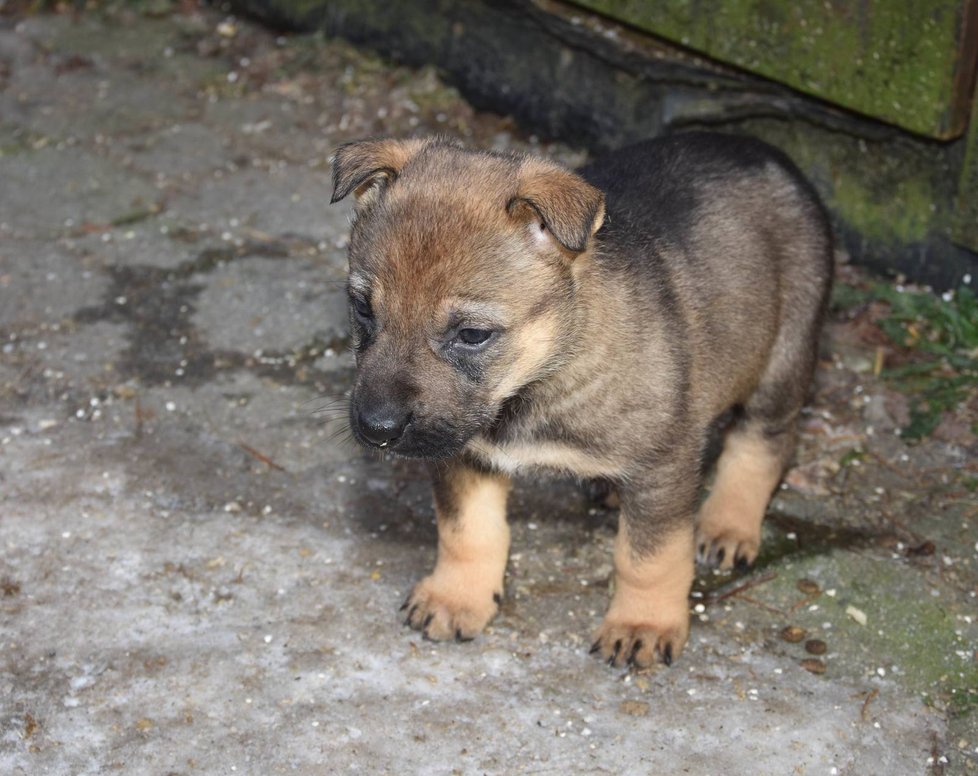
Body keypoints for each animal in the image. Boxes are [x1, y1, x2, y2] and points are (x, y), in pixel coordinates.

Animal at [330, 133, 832, 668]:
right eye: (362, 308)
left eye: (472, 335)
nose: (376, 430)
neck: (538, 380)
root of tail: (761, 149)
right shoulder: (465, 454)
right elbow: (467, 532)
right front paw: (456, 597)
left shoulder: (663, 465)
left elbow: (648, 558)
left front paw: (642, 624)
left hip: (783, 360)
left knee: (764, 442)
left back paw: (729, 524)